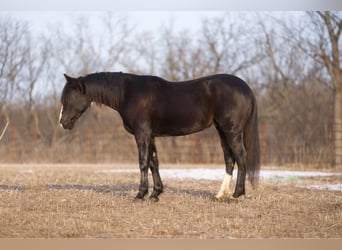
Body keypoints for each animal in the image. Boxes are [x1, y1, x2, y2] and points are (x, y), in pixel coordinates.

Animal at [60, 72, 260, 201]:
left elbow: (142, 163)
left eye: (69, 98)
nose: (62, 123)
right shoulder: (151, 136)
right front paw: (155, 193)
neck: (128, 93)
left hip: (232, 131)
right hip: (222, 131)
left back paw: (237, 194)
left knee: (241, 157)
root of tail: (246, 88)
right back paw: (220, 194)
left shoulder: (142, 134)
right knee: (229, 159)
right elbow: (153, 162)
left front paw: (140, 194)